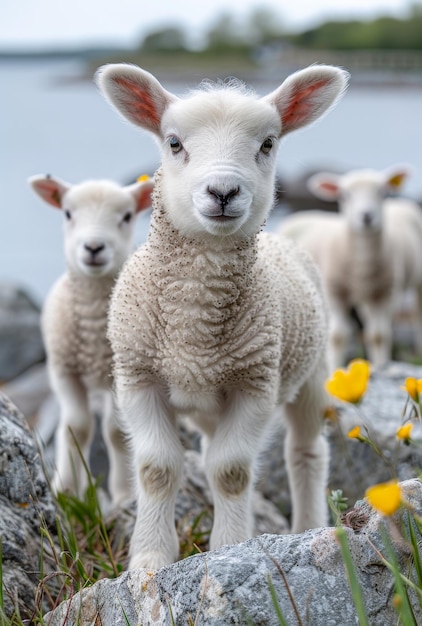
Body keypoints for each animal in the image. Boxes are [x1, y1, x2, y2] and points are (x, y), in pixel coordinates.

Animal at [26, 174, 152, 502]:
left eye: (127, 216)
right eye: (68, 213)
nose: (94, 247)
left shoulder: (120, 374)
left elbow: (116, 432)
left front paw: (123, 494)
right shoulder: (63, 371)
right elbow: (77, 428)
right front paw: (67, 490)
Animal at [96, 64, 350, 572]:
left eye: (268, 143)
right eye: (174, 142)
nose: (223, 192)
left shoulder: (255, 384)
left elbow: (231, 471)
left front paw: (228, 547)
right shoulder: (138, 378)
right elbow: (157, 469)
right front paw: (150, 557)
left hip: (311, 371)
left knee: (306, 451)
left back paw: (308, 523)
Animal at [278, 166, 422, 370]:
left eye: (382, 192)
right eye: (345, 195)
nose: (366, 216)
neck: (363, 262)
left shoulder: (384, 293)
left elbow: (379, 336)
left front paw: (381, 365)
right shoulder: (335, 291)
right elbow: (338, 337)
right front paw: (335, 370)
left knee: (417, 316)